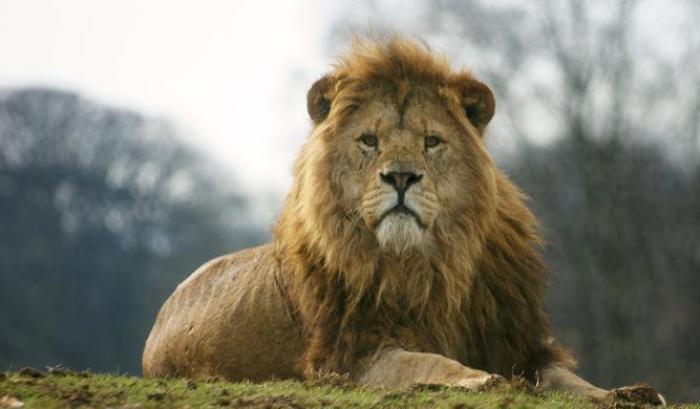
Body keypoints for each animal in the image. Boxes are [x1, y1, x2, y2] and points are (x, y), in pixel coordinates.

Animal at [142, 37, 664, 405]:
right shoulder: (353, 355)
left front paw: (629, 393)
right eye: (369, 140)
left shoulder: (516, 340)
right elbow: (429, 363)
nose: (400, 176)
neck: (431, 265)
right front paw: (482, 380)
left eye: (431, 141)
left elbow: (568, 379)